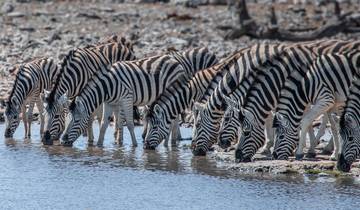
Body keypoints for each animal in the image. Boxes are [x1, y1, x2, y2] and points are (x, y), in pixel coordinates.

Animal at [60, 47, 218, 146]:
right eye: (68, 119)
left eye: (76, 120)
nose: (62, 140)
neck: (107, 86)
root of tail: (176, 62)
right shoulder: (109, 102)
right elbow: (104, 124)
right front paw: (99, 145)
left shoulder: (127, 98)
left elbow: (129, 123)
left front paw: (134, 146)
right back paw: (170, 142)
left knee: (174, 119)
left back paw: (170, 143)